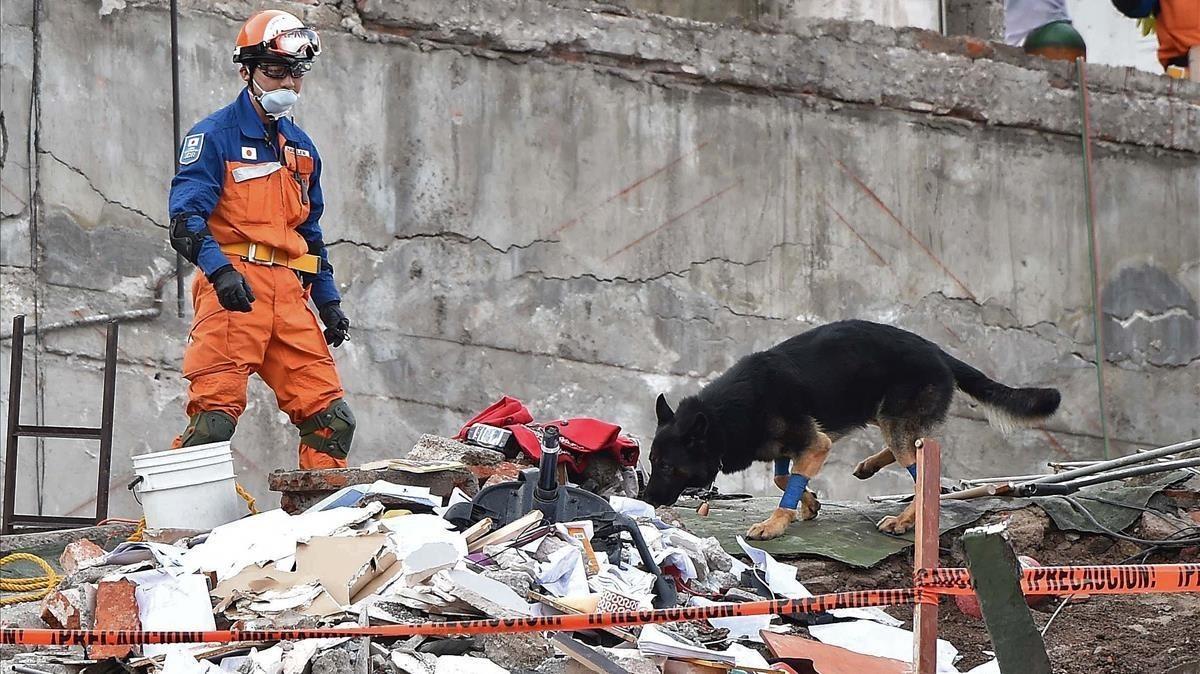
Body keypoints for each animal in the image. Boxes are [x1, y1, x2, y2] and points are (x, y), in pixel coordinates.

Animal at [648, 316, 1060, 537]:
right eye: (652, 463)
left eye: (668, 466)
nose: (646, 501)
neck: (722, 416)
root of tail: (939, 352)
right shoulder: (795, 446)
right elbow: (784, 478)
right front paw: (809, 502)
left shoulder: (815, 444)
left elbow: (787, 484)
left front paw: (777, 523)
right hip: (884, 415)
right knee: (911, 449)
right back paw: (869, 466)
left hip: (894, 419)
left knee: (920, 469)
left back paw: (904, 519)